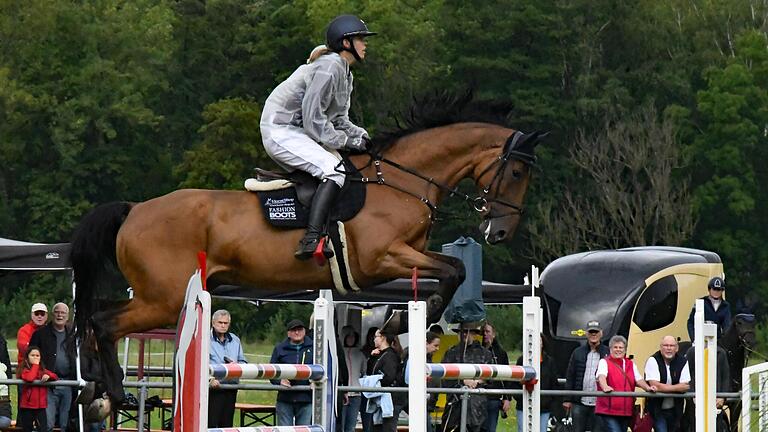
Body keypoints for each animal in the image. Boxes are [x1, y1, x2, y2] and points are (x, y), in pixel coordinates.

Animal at [69, 113, 544, 414]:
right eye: (517, 173)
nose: (500, 232)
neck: (400, 182)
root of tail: (133, 210)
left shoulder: (404, 257)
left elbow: (450, 268)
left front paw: (398, 323)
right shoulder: (381, 259)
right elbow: (451, 271)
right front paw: (400, 324)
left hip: (157, 297)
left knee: (95, 317)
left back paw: (95, 390)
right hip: (165, 299)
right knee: (104, 322)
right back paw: (115, 393)